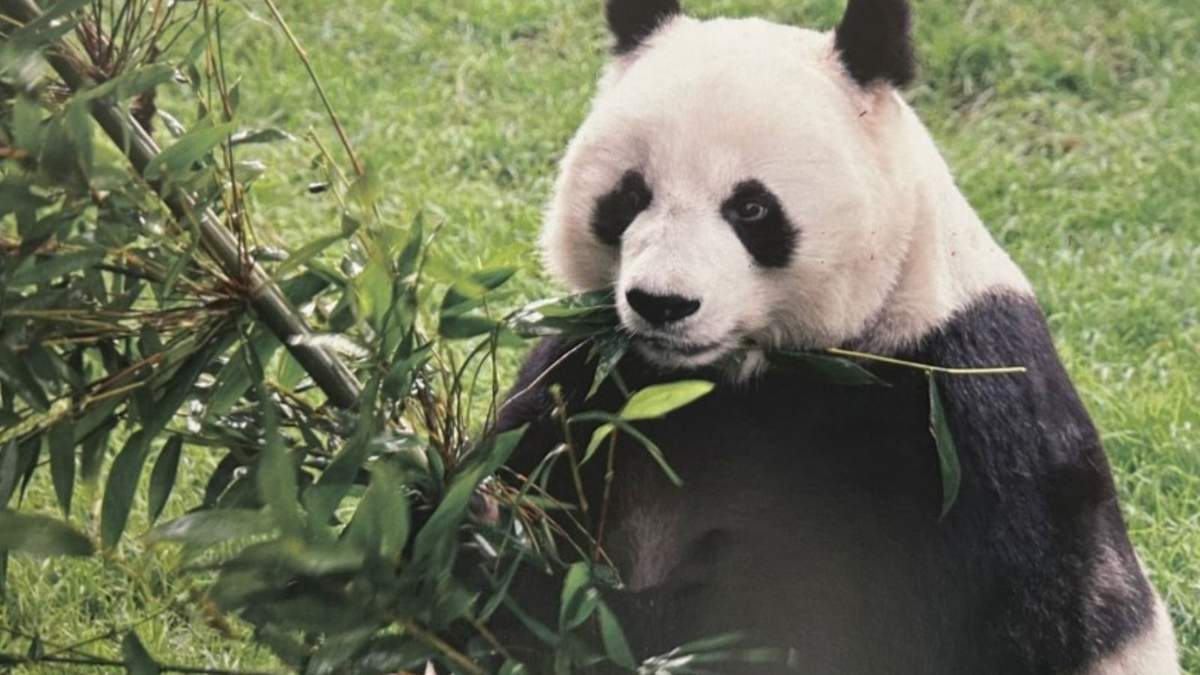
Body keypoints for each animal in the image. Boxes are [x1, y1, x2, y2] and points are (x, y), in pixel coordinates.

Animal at [495, 0, 1180, 672]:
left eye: (751, 209)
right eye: (630, 195)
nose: (663, 303)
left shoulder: (952, 426)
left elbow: (843, 617)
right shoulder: (598, 373)